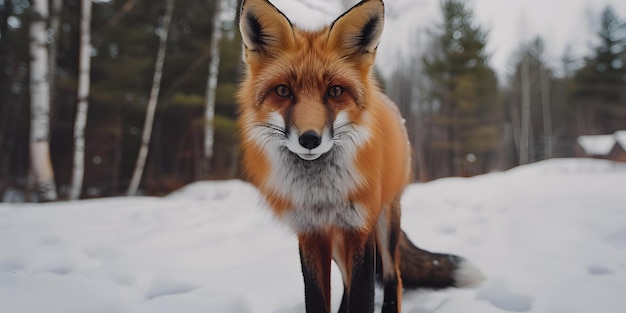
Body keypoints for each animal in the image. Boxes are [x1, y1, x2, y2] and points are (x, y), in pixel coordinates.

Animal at [235, 0, 482, 310]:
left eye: (334, 91)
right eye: (283, 91)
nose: (310, 139)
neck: (321, 196)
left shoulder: (360, 231)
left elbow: (363, 296)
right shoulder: (311, 235)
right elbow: (319, 300)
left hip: (385, 223)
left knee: (392, 276)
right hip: (339, 244)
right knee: (346, 283)